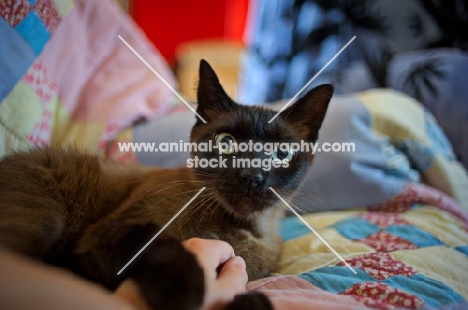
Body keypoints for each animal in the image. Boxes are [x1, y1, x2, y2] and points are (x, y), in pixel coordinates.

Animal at [0, 60, 332, 310]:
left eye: (281, 153)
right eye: (225, 142)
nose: (251, 175)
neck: (233, 227)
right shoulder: (107, 231)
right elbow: (155, 241)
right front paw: (187, 289)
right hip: (48, 220)